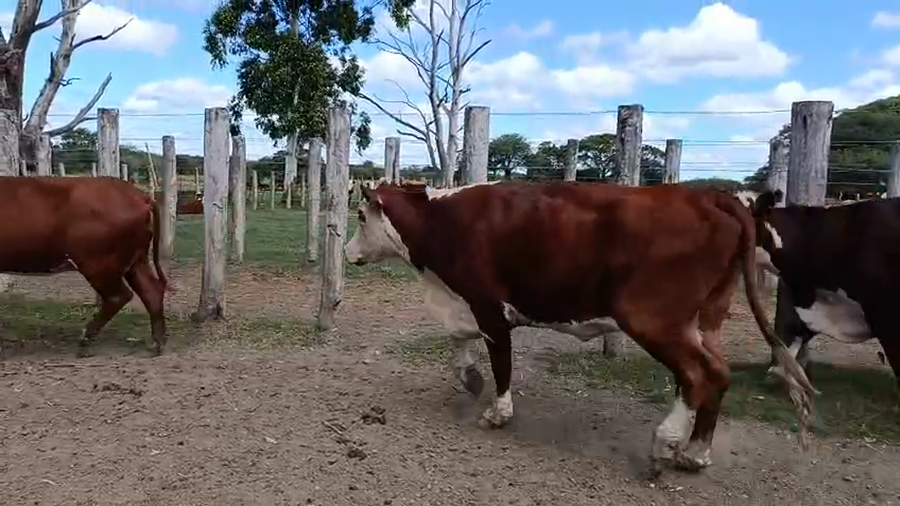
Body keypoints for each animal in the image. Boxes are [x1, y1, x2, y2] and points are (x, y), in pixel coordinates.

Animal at [0, 176, 170, 357]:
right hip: (136, 261)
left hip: (97, 263)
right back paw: (158, 343)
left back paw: (85, 341)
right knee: (150, 291)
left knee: (119, 296)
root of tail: (138, 195)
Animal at [344, 180, 815, 475]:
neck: (442, 221)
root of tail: (709, 196)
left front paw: (498, 411)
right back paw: (695, 453)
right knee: (716, 374)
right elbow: (459, 339)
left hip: (652, 318)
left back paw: (664, 446)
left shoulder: (487, 303)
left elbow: (500, 360)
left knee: (696, 376)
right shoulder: (463, 303)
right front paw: (469, 377)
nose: (348, 252)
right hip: (706, 320)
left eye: (361, 218)